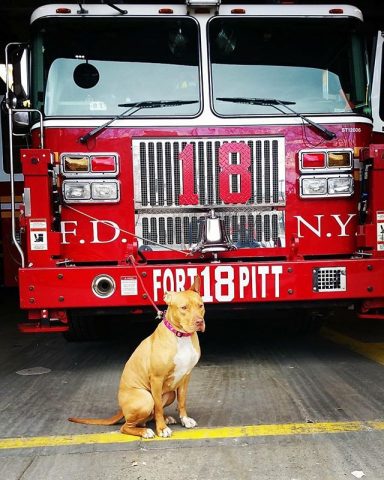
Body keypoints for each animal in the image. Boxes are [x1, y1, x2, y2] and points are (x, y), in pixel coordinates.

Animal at [69, 278, 207, 438]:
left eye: (201, 305)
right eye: (183, 308)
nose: (199, 322)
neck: (180, 336)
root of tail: (122, 410)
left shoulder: (186, 376)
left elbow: (182, 401)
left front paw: (184, 419)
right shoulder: (157, 379)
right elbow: (158, 407)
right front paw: (161, 428)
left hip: (170, 393)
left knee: (148, 417)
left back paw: (164, 419)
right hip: (145, 398)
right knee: (127, 426)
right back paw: (146, 430)